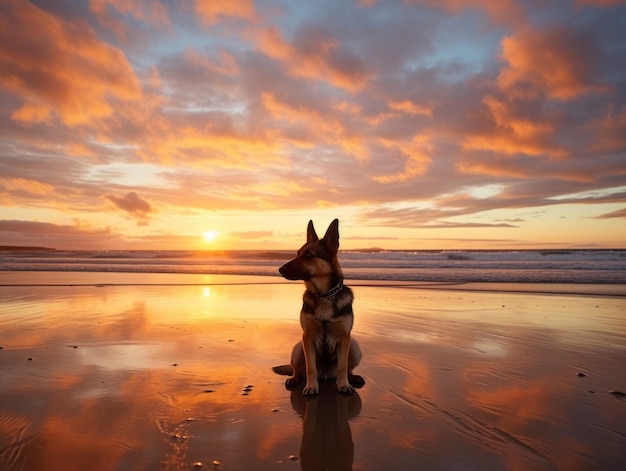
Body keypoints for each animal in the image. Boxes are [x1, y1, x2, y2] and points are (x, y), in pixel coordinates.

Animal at [276, 219, 364, 396]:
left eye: (309, 255)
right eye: (297, 253)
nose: (279, 269)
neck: (324, 295)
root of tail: (326, 376)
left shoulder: (344, 338)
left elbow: (343, 367)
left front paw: (343, 384)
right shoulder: (308, 338)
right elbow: (310, 368)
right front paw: (311, 387)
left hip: (354, 346)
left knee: (348, 368)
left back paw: (352, 378)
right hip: (298, 347)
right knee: (298, 369)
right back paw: (294, 379)